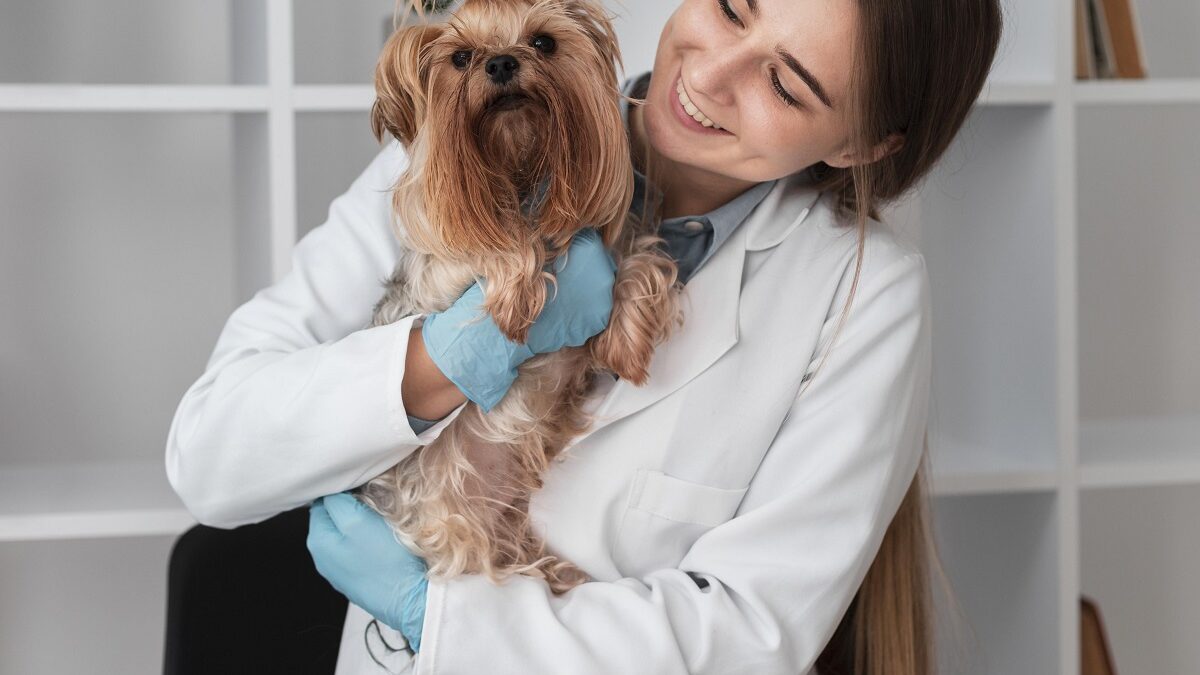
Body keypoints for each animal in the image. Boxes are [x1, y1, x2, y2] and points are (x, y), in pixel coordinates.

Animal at [350, 0, 681, 590]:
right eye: (460, 57)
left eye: (544, 42)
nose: (502, 63)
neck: (520, 174)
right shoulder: (444, 273)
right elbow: (500, 244)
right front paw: (515, 298)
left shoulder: (608, 242)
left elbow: (646, 260)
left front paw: (627, 344)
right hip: (448, 526)